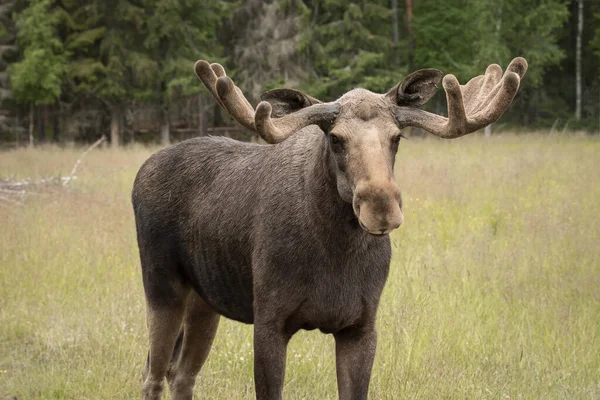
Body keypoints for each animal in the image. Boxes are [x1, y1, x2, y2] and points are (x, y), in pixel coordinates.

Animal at [131, 57, 524, 400]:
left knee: (181, 374)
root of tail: (143, 170)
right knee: (152, 375)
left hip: (205, 299)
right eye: (335, 138)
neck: (335, 251)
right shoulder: (269, 319)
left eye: (397, 137)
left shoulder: (360, 325)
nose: (381, 207)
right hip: (162, 284)